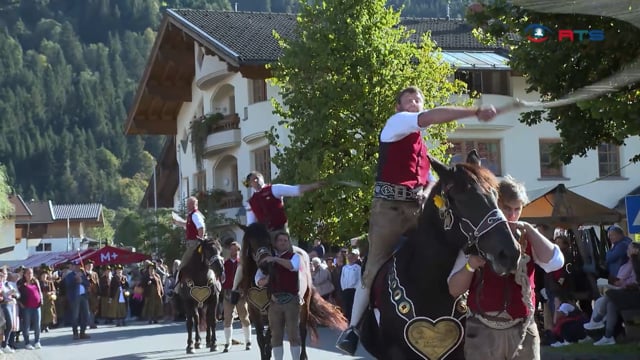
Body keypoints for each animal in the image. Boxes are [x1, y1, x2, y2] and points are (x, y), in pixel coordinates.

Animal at [238, 224, 348, 358]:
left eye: (269, 241)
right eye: (251, 242)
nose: (265, 265)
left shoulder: (272, 309)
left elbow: (270, 335)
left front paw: (269, 351)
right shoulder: (254, 310)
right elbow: (261, 338)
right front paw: (265, 354)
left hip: (305, 303)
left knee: (302, 330)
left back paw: (303, 355)